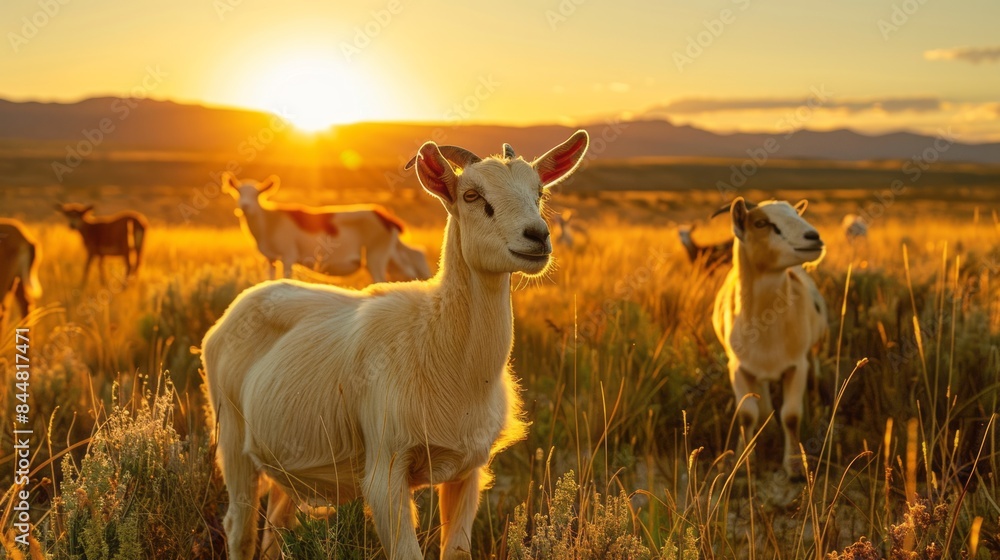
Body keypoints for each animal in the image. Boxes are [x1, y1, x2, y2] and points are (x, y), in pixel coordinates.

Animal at [223, 174, 430, 282]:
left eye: (257, 194)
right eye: (238, 192)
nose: (245, 206)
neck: (269, 221)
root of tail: (385, 216)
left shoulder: (288, 256)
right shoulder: (271, 259)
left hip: (376, 257)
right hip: (392, 254)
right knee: (415, 258)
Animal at [711, 198, 828, 479]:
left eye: (797, 213)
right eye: (761, 223)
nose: (813, 237)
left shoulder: (797, 365)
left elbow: (791, 416)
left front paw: (795, 465)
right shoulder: (737, 367)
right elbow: (746, 414)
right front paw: (743, 462)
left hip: (813, 354)